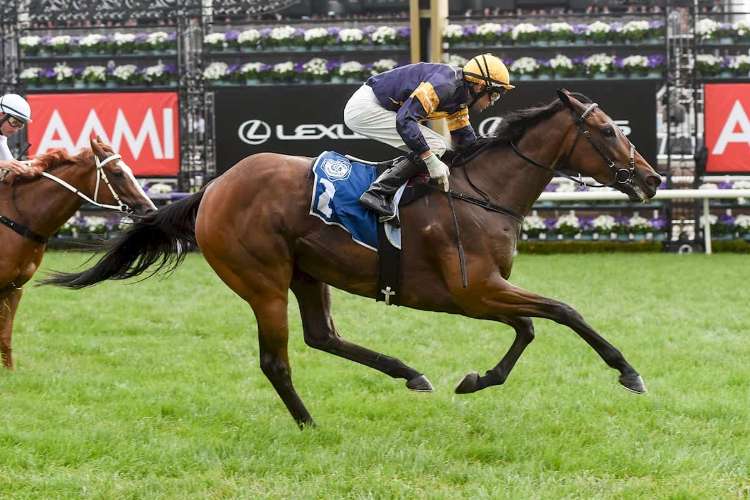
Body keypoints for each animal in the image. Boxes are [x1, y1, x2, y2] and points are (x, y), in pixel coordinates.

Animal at [44, 90, 662, 428]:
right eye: (608, 130)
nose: (653, 179)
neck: (482, 193)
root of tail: (214, 187)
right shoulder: (474, 290)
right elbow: (561, 312)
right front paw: (628, 371)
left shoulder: (481, 293)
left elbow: (531, 327)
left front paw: (475, 379)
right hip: (263, 281)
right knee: (277, 360)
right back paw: (308, 422)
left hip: (308, 273)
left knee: (322, 336)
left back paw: (409, 374)